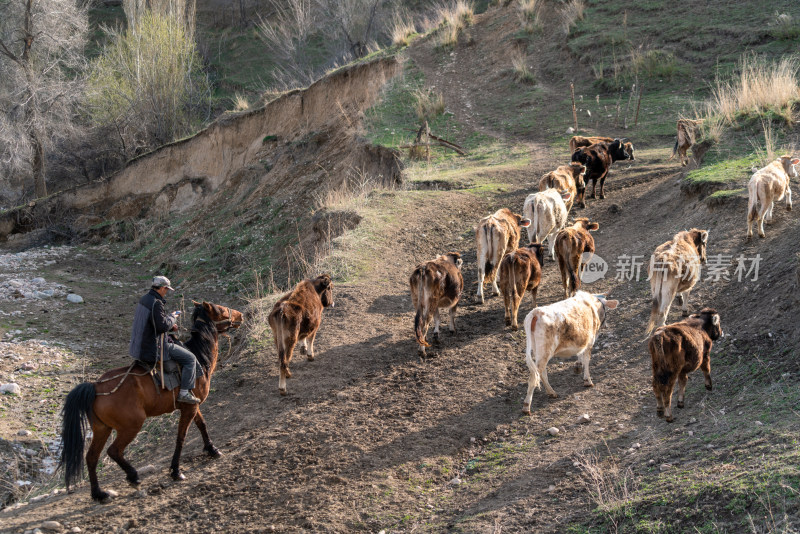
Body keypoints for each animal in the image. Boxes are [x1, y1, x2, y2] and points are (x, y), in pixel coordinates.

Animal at [59, 302, 242, 502]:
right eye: (221, 309)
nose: (240, 315)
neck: (197, 358)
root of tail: (95, 387)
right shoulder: (189, 408)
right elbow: (181, 437)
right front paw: (176, 471)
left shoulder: (192, 405)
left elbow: (202, 425)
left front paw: (212, 449)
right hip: (131, 426)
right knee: (113, 451)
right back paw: (133, 476)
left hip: (102, 429)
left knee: (91, 457)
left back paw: (99, 493)